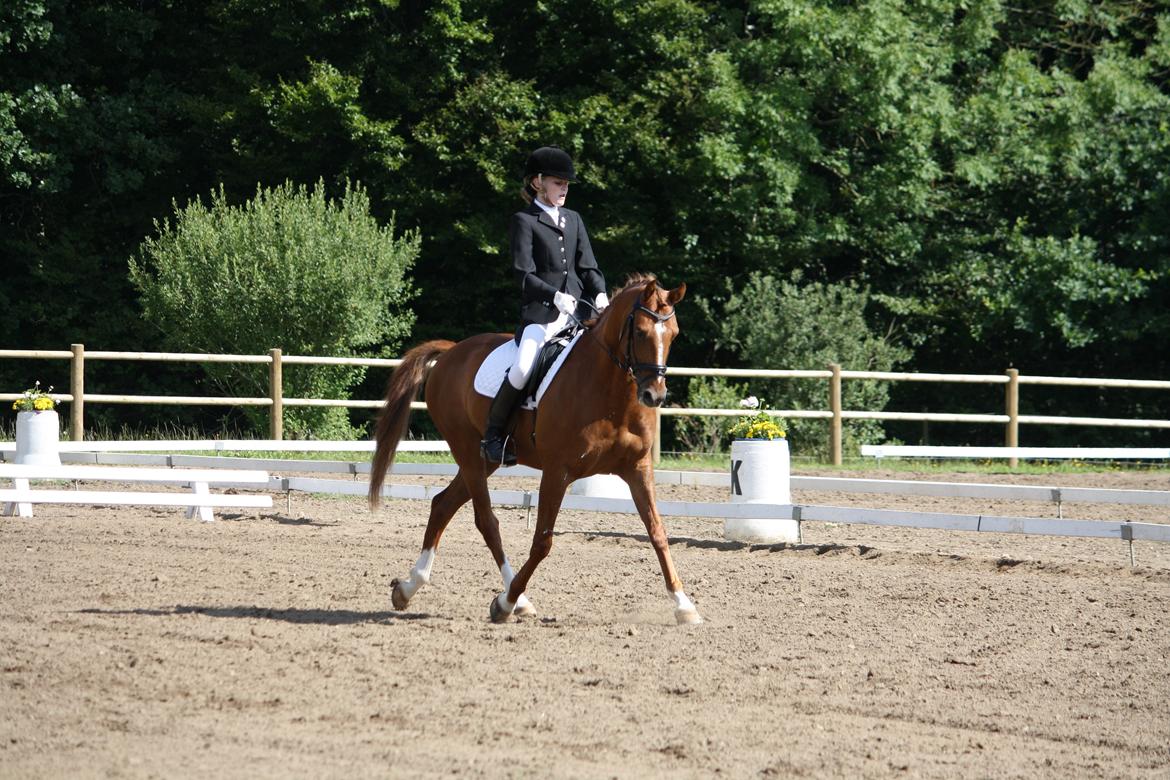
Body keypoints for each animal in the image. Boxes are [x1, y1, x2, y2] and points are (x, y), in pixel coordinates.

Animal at [368, 273, 702, 625]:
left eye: (674, 334)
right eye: (640, 331)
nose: (654, 395)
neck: (611, 393)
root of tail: (452, 351)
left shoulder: (638, 468)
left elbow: (658, 532)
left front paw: (684, 605)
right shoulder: (557, 471)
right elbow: (542, 541)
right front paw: (505, 602)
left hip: (485, 460)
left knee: (443, 504)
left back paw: (408, 588)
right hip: (468, 452)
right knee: (486, 522)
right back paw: (515, 600)